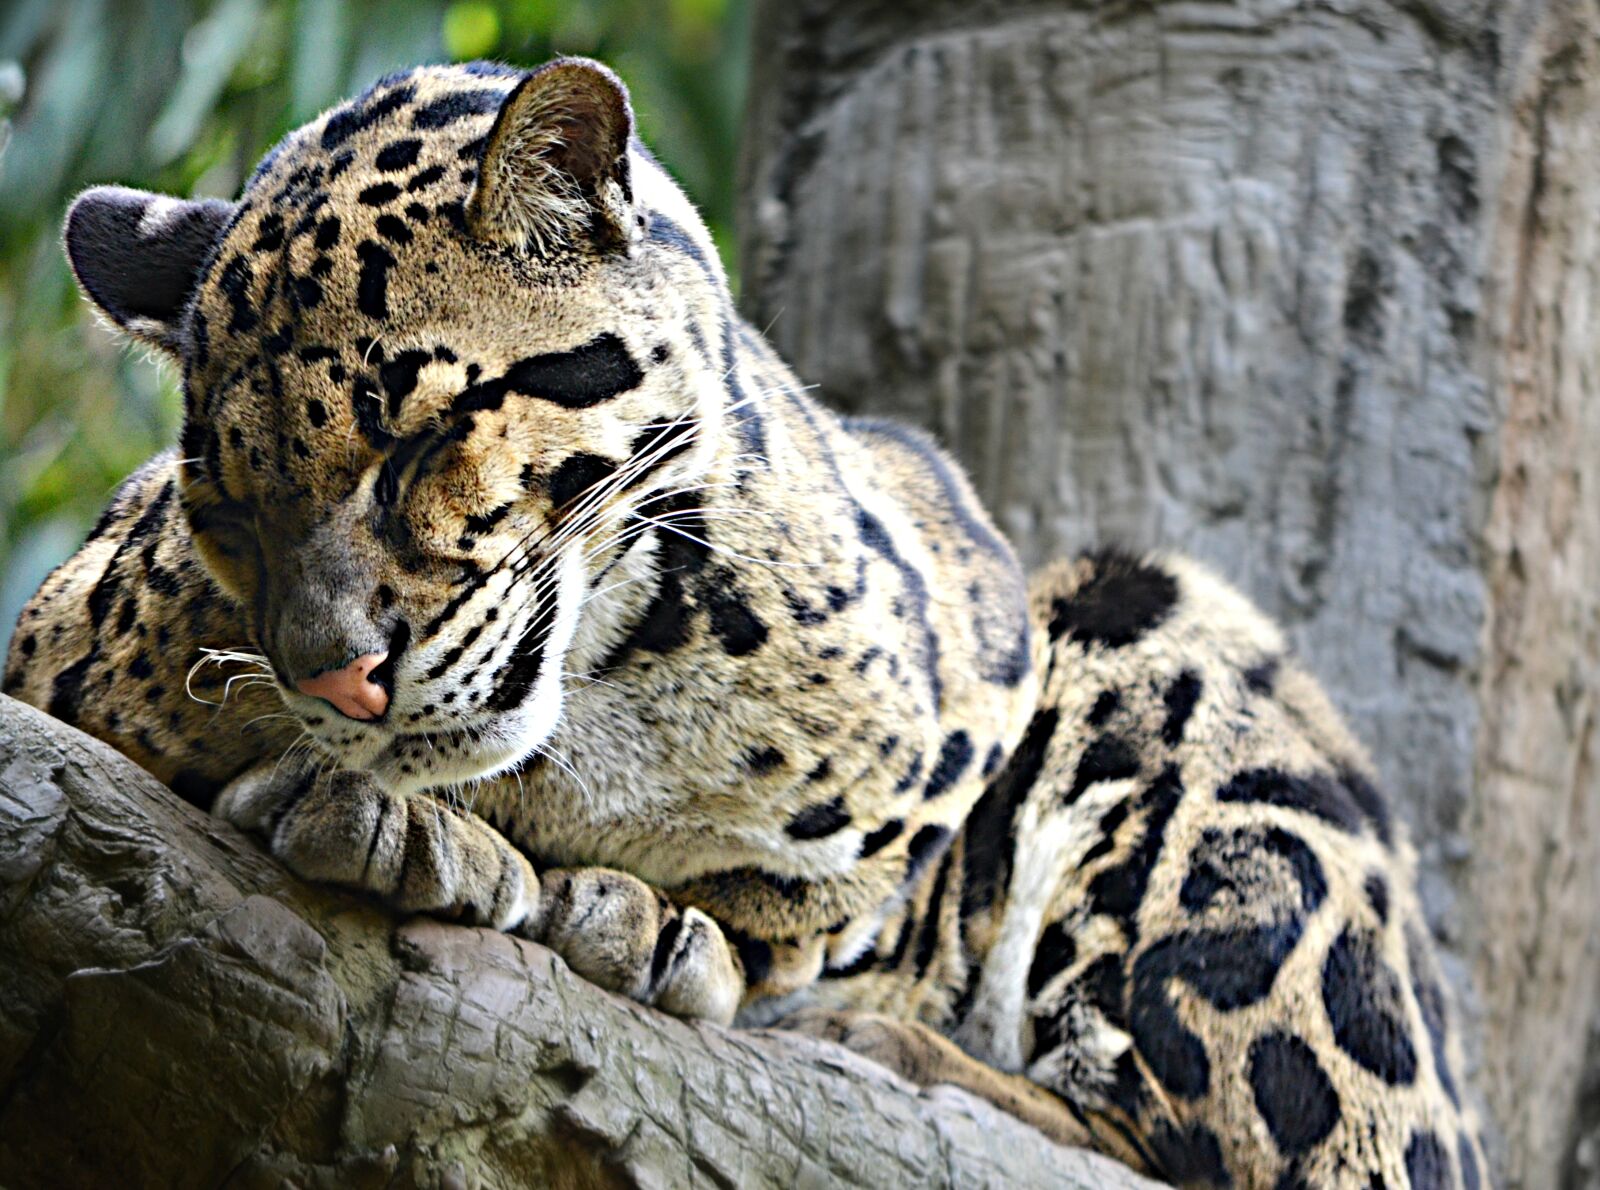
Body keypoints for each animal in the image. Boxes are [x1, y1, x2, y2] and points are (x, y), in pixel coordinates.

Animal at [4, 58, 1487, 1188]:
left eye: (419, 439)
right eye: (230, 512)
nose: (339, 679)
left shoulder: (970, 631)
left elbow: (827, 888)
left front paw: (647, 918)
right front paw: (407, 820)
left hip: (1175, 638)